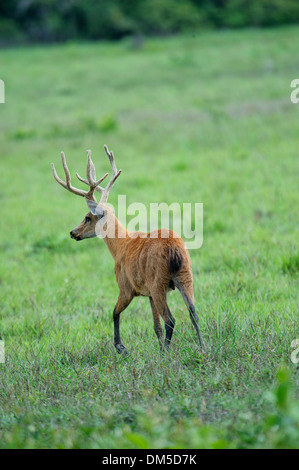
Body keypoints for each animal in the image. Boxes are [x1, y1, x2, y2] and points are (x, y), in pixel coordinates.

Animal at [52, 145, 206, 354]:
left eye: (87, 217)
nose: (72, 232)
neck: (120, 246)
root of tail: (174, 250)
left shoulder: (126, 286)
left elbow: (114, 312)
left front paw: (120, 346)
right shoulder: (148, 293)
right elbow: (155, 326)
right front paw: (154, 348)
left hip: (158, 281)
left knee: (171, 320)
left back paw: (167, 353)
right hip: (185, 275)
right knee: (193, 314)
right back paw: (203, 348)